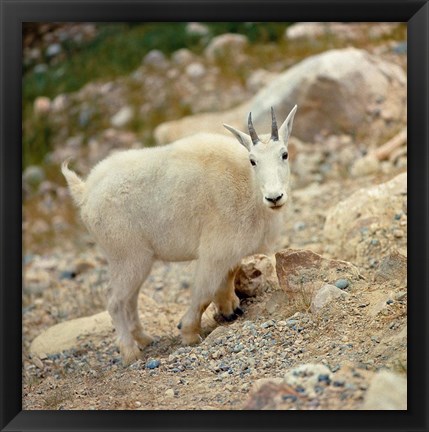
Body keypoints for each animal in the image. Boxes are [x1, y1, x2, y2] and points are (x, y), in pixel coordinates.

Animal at [61, 105, 296, 364]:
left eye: (284, 154)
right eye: (253, 160)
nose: (274, 197)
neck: (248, 185)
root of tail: (85, 193)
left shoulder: (230, 250)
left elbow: (228, 277)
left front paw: (230, 309)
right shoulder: (215, 249)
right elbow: (203, 292)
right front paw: (189, 332)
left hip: (134, 260)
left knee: (130, 299)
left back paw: (144, 339)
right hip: (127, 255)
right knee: (115, 302)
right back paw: (130, 352)